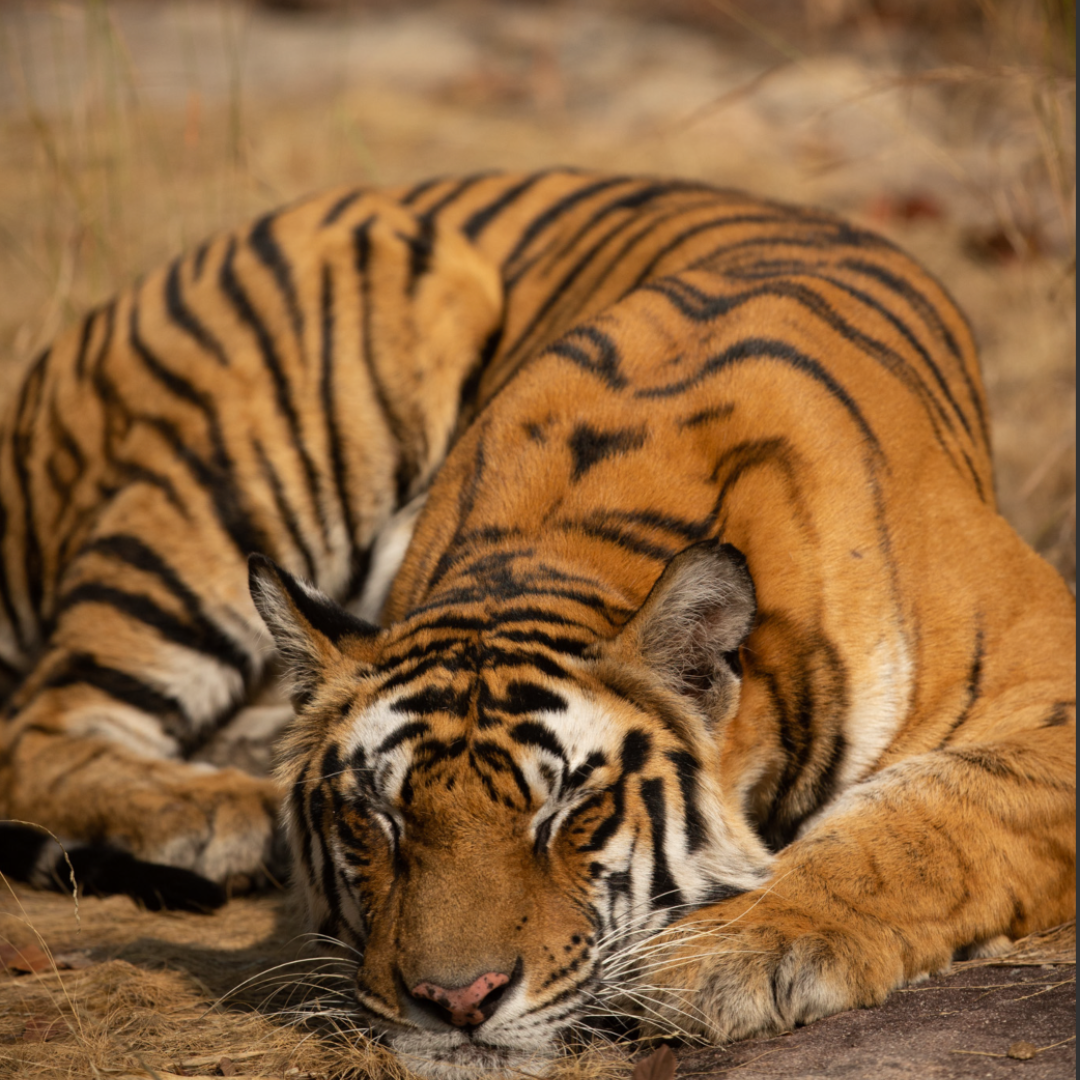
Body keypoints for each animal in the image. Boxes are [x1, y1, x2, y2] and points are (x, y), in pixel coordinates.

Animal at [0, 170, 1075, 1080]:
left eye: (574, 815)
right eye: (375, 819)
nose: (456, 1002)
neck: (565, 550)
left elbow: (925, 823)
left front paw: (725, 958)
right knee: (40, 728)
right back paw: (219, 814)